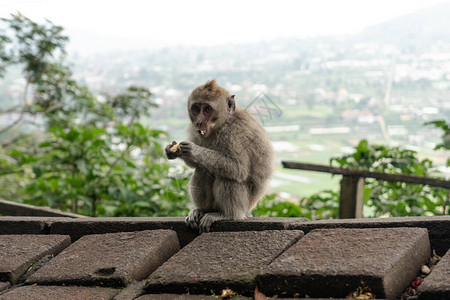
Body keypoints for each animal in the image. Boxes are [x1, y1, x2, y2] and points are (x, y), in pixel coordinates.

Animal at [164, 79, 272, 232]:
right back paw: (202, 211)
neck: (222, 123)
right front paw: (172, 150)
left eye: (207, 109)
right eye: (196, 108)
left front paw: (194, 150)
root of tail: (249, 210)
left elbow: (238, 168)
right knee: (203, 170)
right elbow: (195, 163)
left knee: (227, 177)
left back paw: (227, 215)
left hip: (244, 205)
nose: (199, 122)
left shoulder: (233, 133)